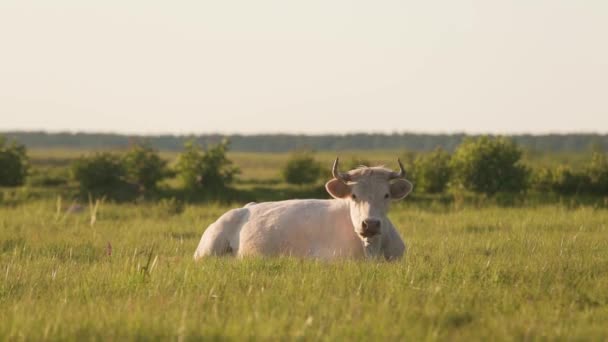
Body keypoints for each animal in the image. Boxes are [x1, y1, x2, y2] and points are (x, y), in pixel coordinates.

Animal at [195, 158, 414, 260]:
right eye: (353, 196)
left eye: (386, 195)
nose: (370, 224)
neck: (372, 249)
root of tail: (243, 208)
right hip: (209, 249)